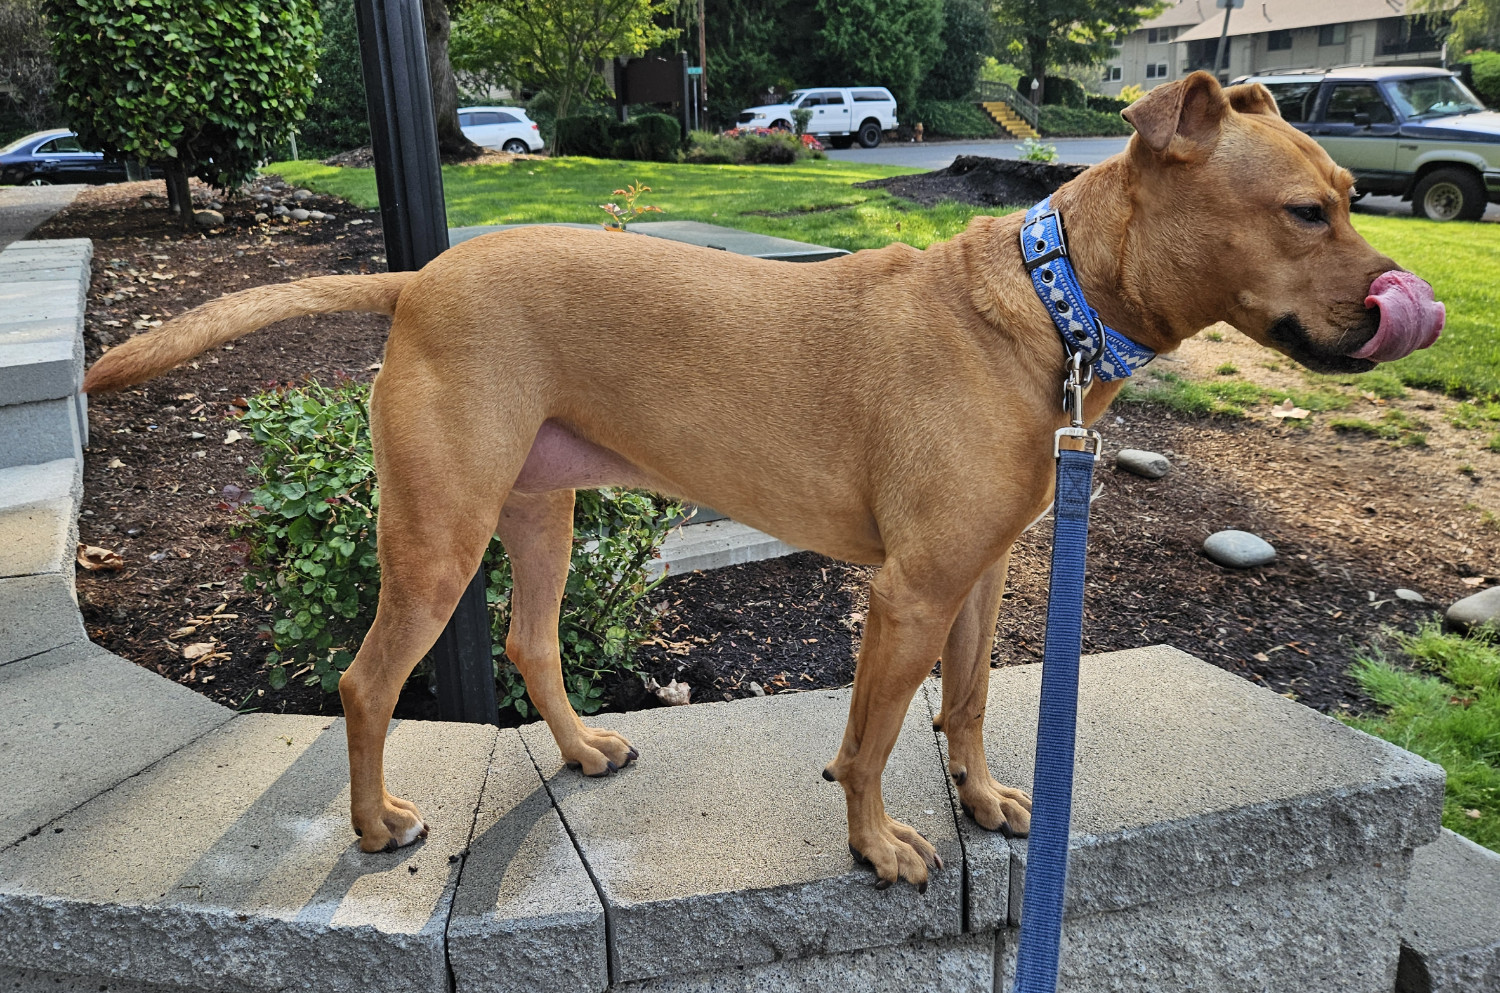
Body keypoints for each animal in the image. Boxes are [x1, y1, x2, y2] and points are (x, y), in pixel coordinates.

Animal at [85, 73, 1440, 888]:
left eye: (1348, 198)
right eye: (1308, 211)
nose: (1397, 307)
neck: (1048, 305)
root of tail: (418, 276)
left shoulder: (983, 577)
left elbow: (967, 704)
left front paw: (983, 796)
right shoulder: (908, 592)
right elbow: (874, 733)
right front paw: (877, 843)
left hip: (541, 514)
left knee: (530, 644)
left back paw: (582, 752)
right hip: (440, 536)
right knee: (368, 686)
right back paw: (376, 827)